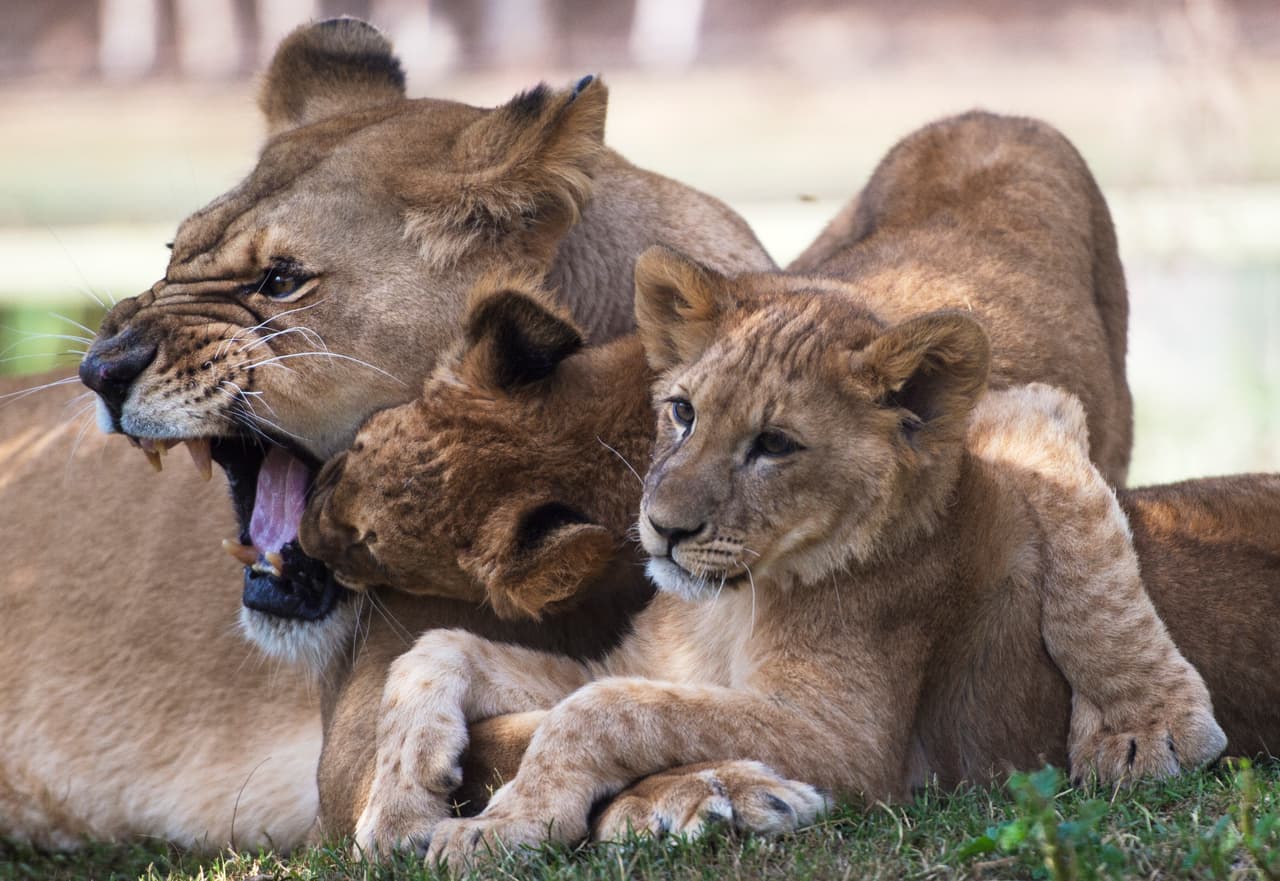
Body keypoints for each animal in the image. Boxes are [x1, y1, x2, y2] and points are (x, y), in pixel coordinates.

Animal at [1, 16, 774, 848]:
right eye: (173, 255)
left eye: (280, 280)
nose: (100, 368)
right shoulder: (348, 749)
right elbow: (525, 730)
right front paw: (701, 786)